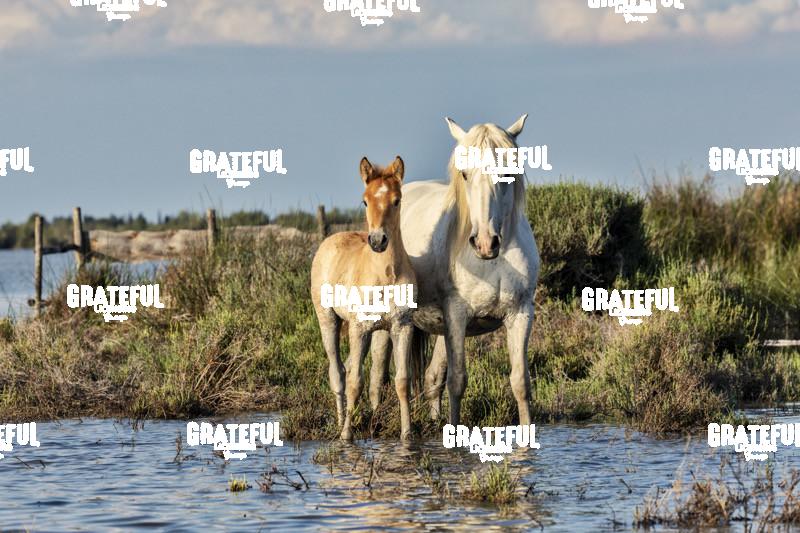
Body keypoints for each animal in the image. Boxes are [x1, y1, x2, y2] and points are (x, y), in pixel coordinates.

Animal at [310, 156, 417, 441]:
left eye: (397, 200)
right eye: (365, 201)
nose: (378, 241)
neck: (385, 275)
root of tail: (330, 240)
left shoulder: (402, 326)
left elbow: (402, 381)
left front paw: (407, 434)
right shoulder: (358, 328)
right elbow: (354, 383)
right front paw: (347, 435)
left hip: (372, 332)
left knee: (351, 368)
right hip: (329, 320)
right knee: (338, 373)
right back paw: (339, 423)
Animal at [369, 115, 540, 427]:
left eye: (507, 172)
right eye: (464, 175)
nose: (484, 242)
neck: (491, 262)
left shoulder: (520, 314)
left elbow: (521, 383)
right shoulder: (458, 315)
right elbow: (458, 382)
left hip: (440, 327)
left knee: (432, 377)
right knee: (377, 372)